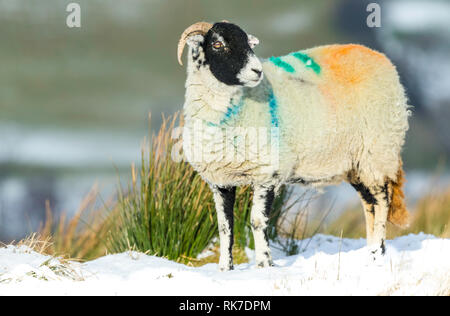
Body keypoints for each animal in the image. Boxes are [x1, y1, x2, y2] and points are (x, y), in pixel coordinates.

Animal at [177, 21, 412, 270]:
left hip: (377, 151)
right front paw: (225, 268)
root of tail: (381, 57)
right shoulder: (220, 181)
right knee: (369, 204)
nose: (257, 71)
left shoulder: (268, 174)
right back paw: (371, 252)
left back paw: (377, 252)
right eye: (217, 44)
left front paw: (264, 263)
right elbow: (224, 227)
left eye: (248, 44)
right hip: (357, 164)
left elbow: (258, 221)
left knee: (382, 201)